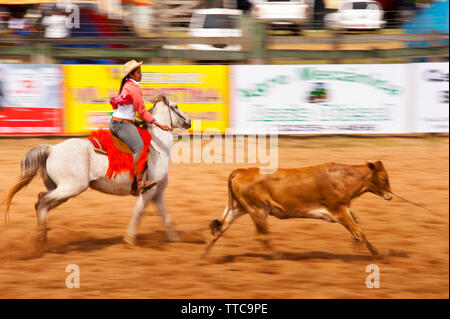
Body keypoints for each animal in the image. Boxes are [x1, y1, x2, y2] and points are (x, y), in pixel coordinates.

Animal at [5, 96, 192, 246]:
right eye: (175, 106)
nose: (189, 121)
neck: (157, 147)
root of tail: (51, 149)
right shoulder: (148, 191)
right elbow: (138, 213)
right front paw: (129, 239)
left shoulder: (157, 193)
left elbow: (165, 216)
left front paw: (174, 239)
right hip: (71, 188)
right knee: (41, 201)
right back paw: (41, 240)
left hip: (63, 191)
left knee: (42, 203)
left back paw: (42, 238)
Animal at [204, 160, 390, 258]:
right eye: (384, 178)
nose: (390, 196)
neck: (341, 179)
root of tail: (242, 171)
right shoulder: (338, 210)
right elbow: (358, 231)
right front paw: (377, 254)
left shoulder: (344, 209)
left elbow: (356, 226)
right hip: (258, 210)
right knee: (263, 236)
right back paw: (277, 258)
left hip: (237, 208)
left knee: (219, 229)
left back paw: (204, 256)